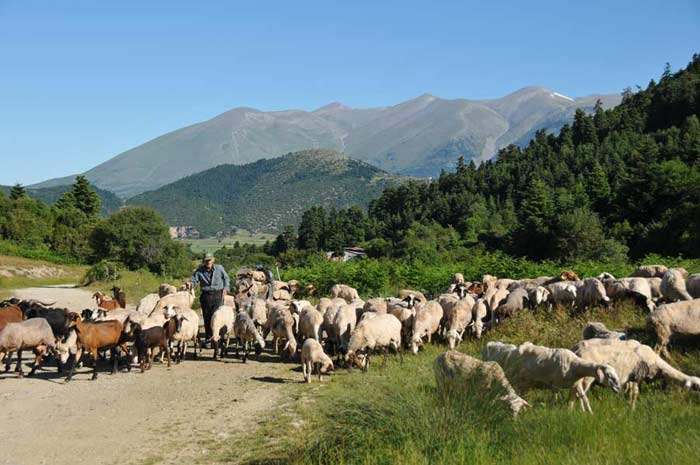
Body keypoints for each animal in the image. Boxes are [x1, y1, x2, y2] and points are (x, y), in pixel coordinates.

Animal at [484, 338, 620, 412]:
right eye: (609, 375)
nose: (618, 388)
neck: (575, 366)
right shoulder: (555, 385)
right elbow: (555, 400)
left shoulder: (576, 385)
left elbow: (583, 399)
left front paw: (588, 413)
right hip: (518, 381)